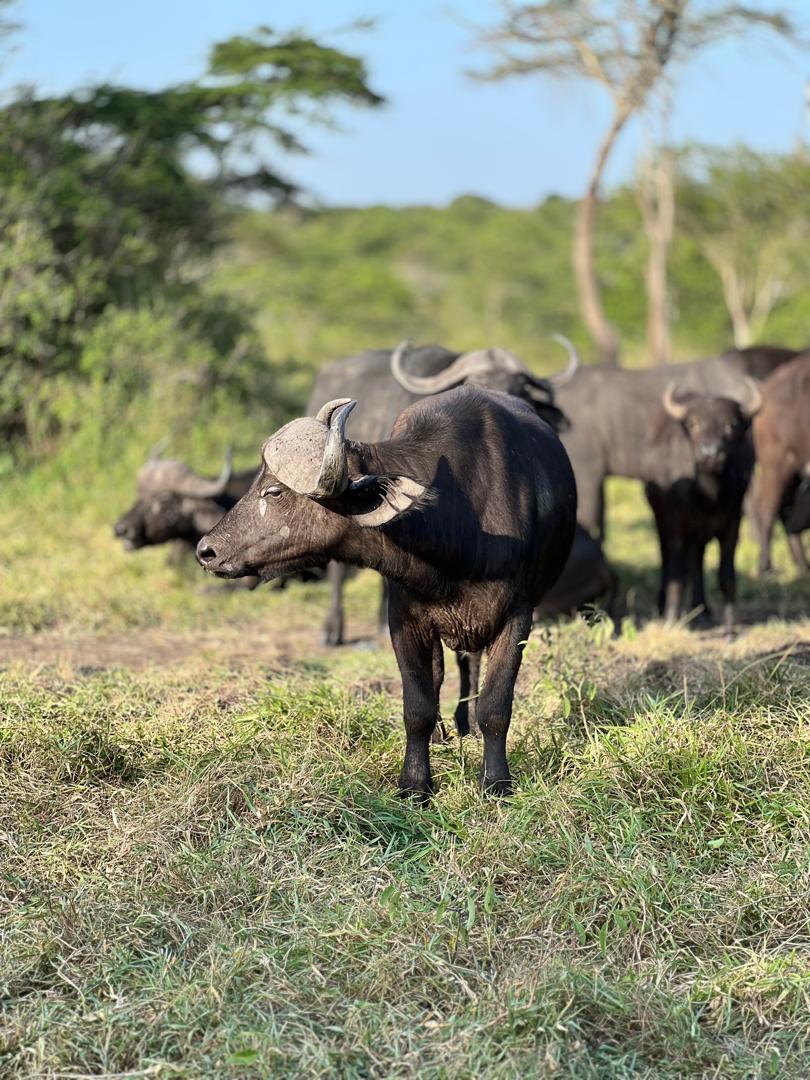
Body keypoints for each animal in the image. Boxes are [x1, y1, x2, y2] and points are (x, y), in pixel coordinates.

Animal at [197, 388, 577, 797]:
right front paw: (414, 782)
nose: (207, 550)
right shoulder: (404, 619)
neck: (456, 526)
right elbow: (418, 706)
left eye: (274, 491)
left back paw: (468, 724)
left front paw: (495, 782)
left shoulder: (518, 616)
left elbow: (495, 706)